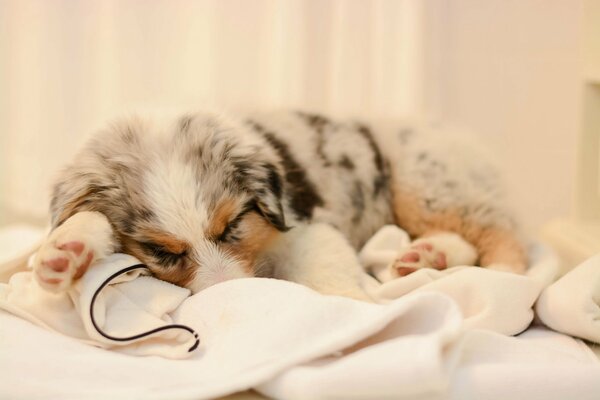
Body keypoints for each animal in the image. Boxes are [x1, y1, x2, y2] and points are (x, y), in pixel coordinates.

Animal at [32, 109, 528, 294]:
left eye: (232, 226)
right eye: (160, 252)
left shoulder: (304, 225)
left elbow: (328, 272)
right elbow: (85, 219)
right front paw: (62, 253)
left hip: (427, 180)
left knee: (498, 232)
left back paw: (503, 276)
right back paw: (423, 257)